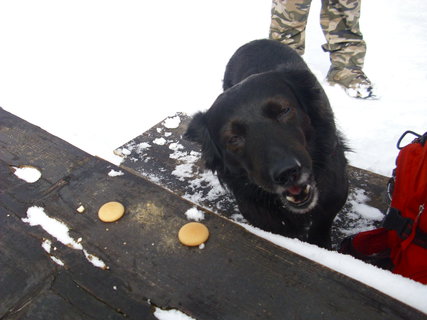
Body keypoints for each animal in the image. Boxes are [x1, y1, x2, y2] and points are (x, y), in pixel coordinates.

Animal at [186, 38, 350, 248]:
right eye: (233, 138)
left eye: (284, 110)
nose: (287, 173)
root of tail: (255, 41)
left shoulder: (335, 195)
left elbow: (321, 224)